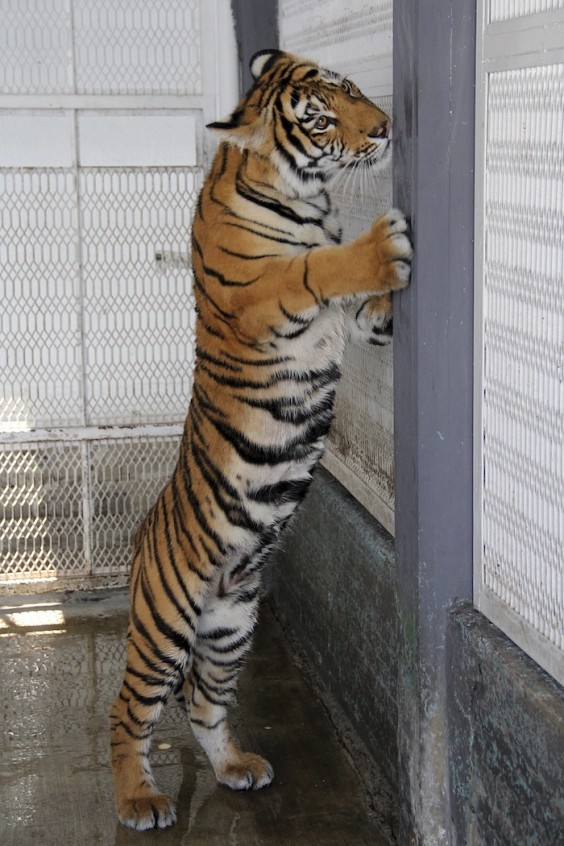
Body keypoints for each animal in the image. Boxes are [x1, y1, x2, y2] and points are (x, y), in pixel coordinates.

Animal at [109, 48, 412, 830]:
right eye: (322, 118)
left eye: (353, 89)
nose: (385, 127)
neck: (308, 200)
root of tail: (139, 540)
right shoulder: (264, 297)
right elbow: (316, 264)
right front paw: (385, 241)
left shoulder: (352, 320)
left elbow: (370, 307)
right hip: (164, 623)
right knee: (131, 711)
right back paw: (139, 798)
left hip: (229, 624)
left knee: (204, 702)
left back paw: (237, 766)